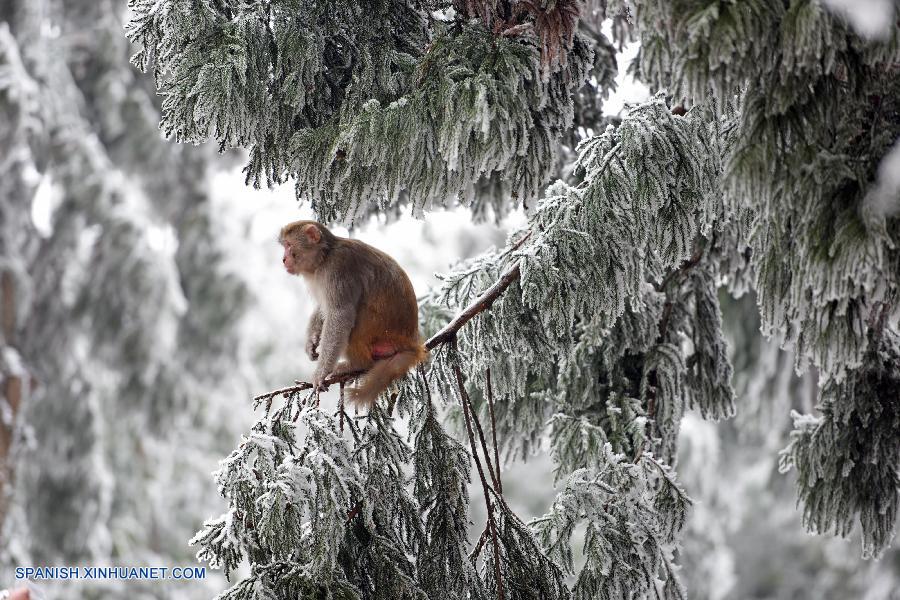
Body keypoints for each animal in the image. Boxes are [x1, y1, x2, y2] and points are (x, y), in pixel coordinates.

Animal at [280, 220, 428, 408]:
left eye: (288, 245)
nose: (283, 259)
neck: (324, 257)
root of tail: (410, 343)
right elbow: (324, 308)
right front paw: (311, 341)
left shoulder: (337, 268)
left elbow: (339, 314)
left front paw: (321, 372)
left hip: (381, 331)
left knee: (354, 315)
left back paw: (357, 364)